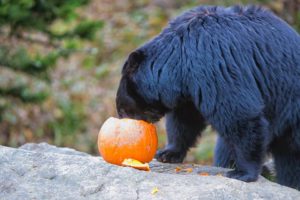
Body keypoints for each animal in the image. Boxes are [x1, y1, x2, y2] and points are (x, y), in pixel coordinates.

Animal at [115, 4, 300, 189]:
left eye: (123, 110)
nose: (126, 124)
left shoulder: (213, 62)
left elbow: (240, 115)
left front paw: (243, 172)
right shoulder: (188, 86)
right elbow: (185, 119)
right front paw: (168, 153)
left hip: (292, 108)